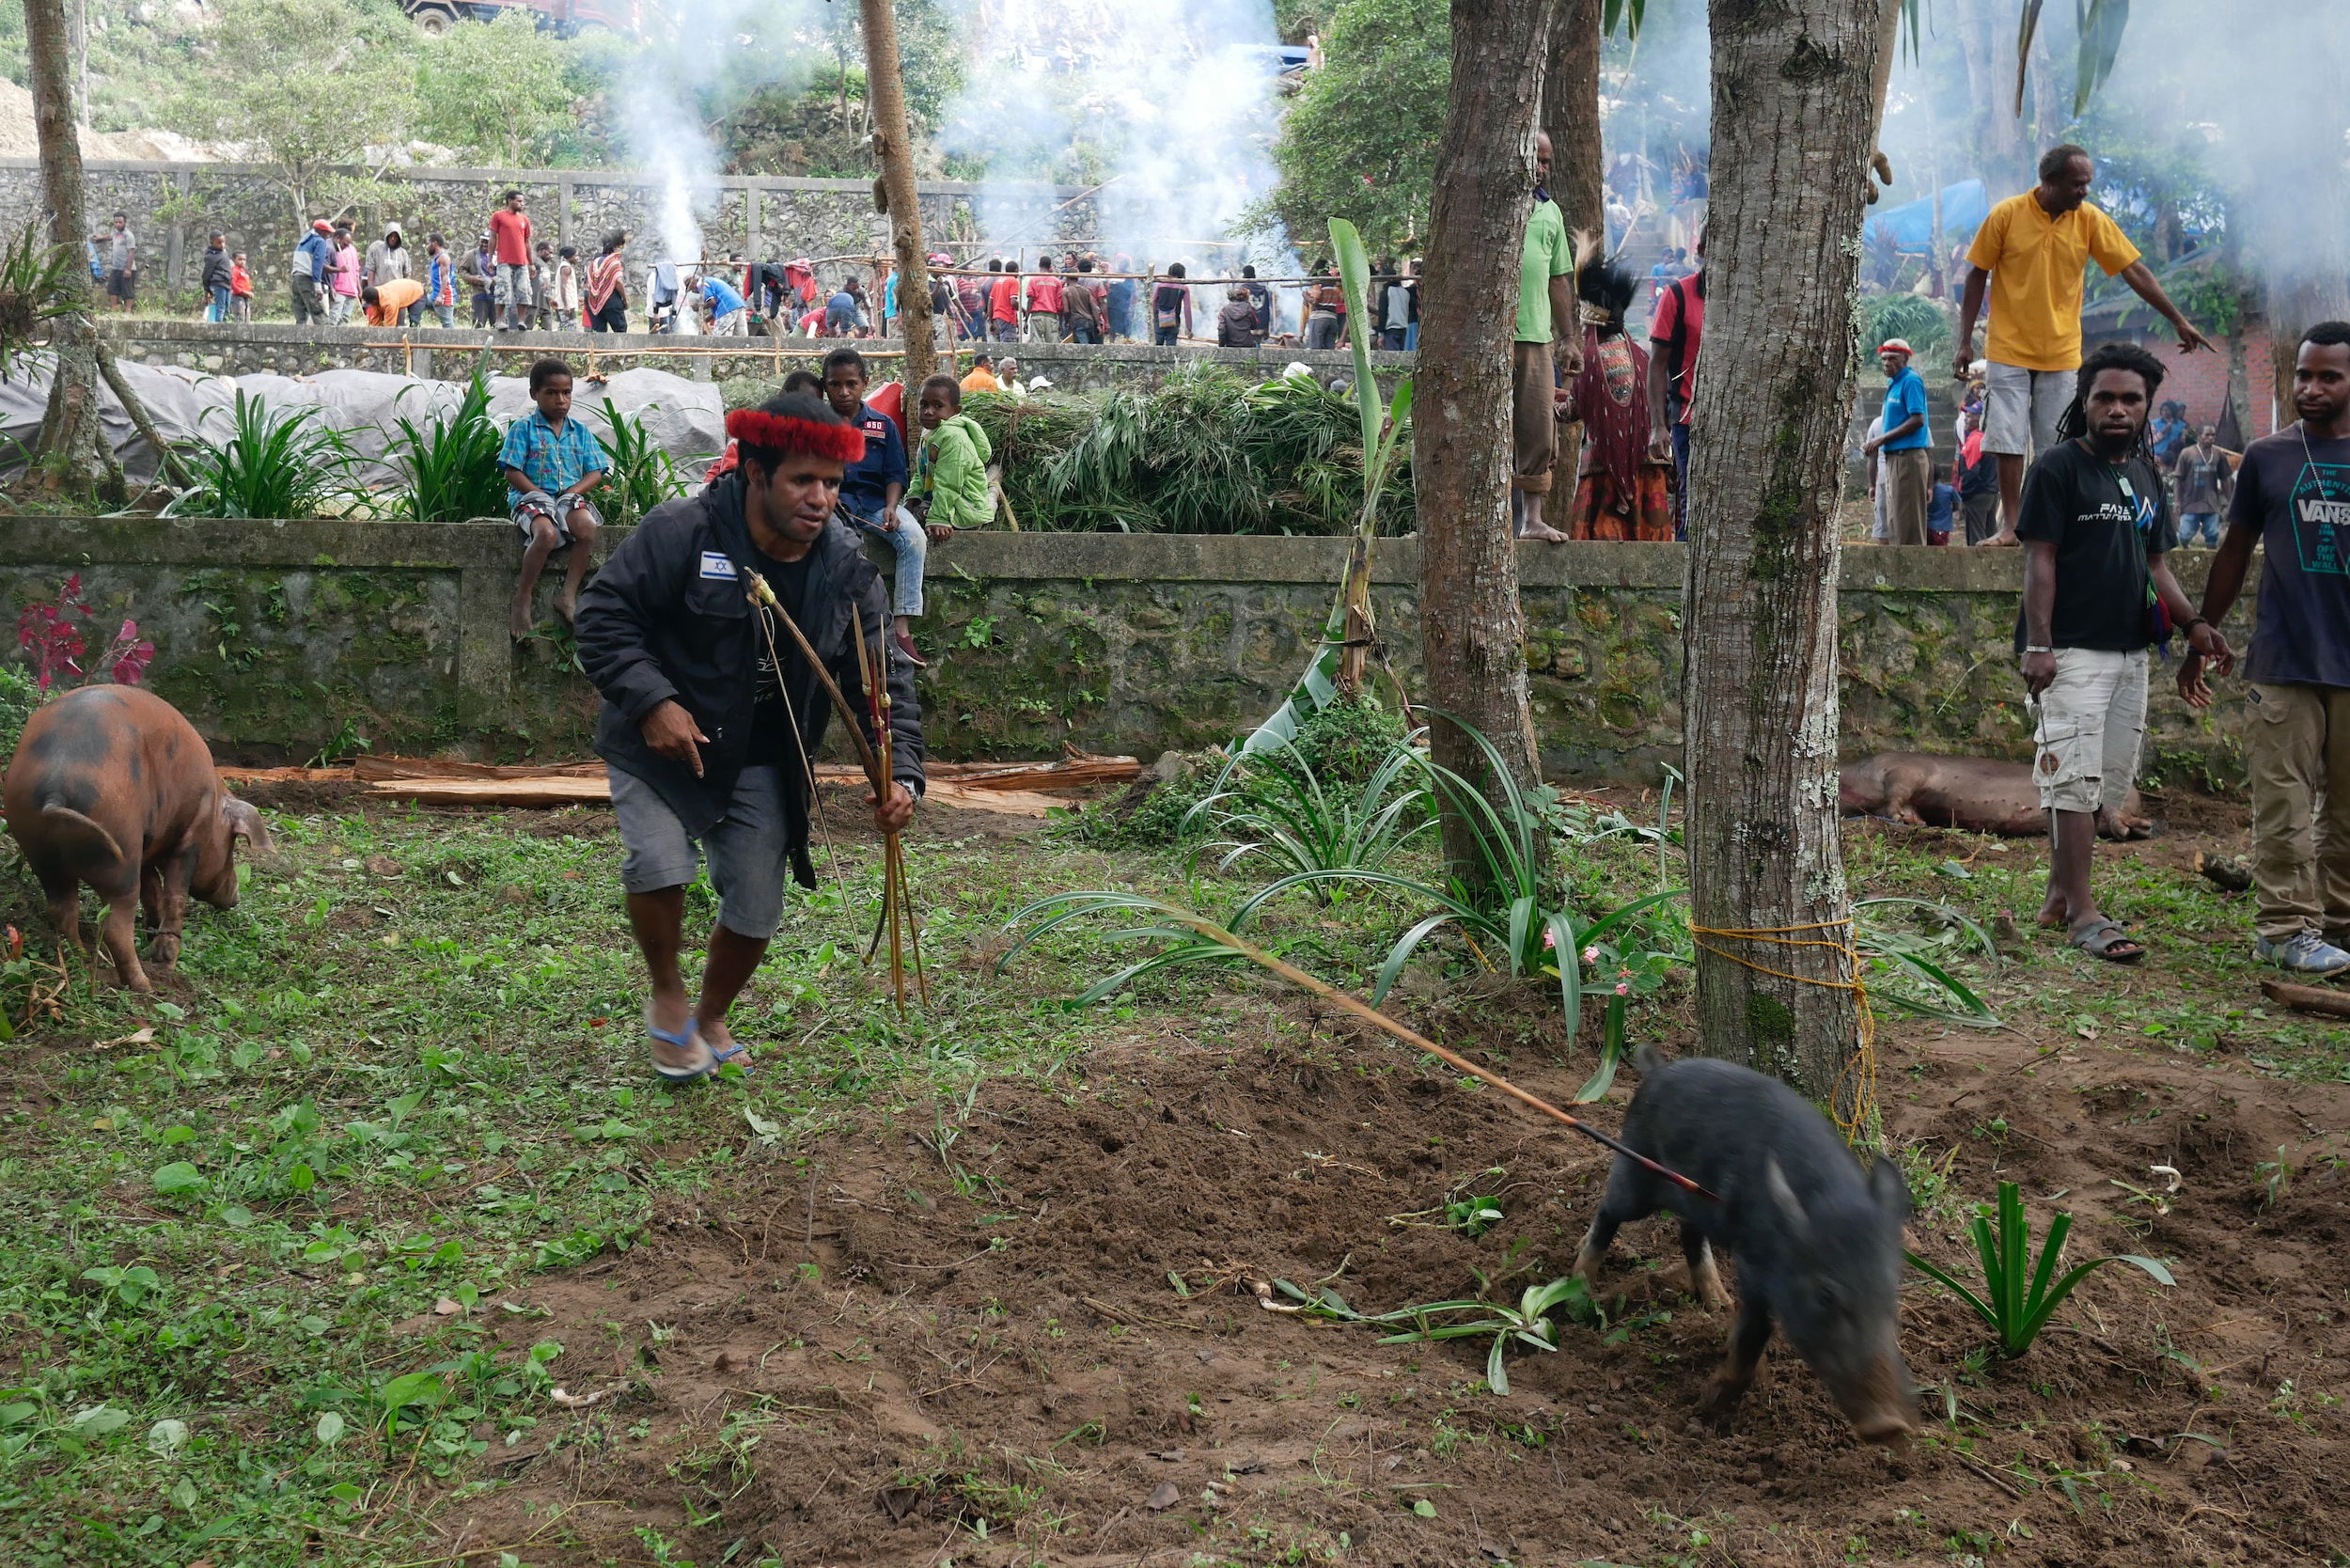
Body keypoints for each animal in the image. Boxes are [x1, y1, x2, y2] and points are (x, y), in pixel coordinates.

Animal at [4, 686, 269, 992]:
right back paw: (145, 985)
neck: (212, 807)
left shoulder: (147, 847)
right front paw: (164, 961)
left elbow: (152, 891)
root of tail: (54, 790)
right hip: (120, 849)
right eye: (232, 846)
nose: (236, 897)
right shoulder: (188, 840)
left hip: (38, 846)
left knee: (63, 910)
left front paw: (151, 931)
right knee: (115, 926)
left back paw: (81, 958)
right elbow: (174, 894)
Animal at [1570, 1043, 1918, 1448]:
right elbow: (1754, 1331)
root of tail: (1657, 1071)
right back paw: (1578, 1284)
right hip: (1638, 1170)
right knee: (1609, 1210)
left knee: (1689, 1232)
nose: (1891, 1425)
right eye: (1825, 1294)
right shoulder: (1753, 1263)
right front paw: (1711, 1406)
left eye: (1891, 1294)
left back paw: (1718, 1304)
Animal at [1833, 752, 2153, 841]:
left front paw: (1907, 820)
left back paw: (2139, 828)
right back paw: (2139, 829)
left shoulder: (1903, 769)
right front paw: (1917, 821)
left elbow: (1896, 795)